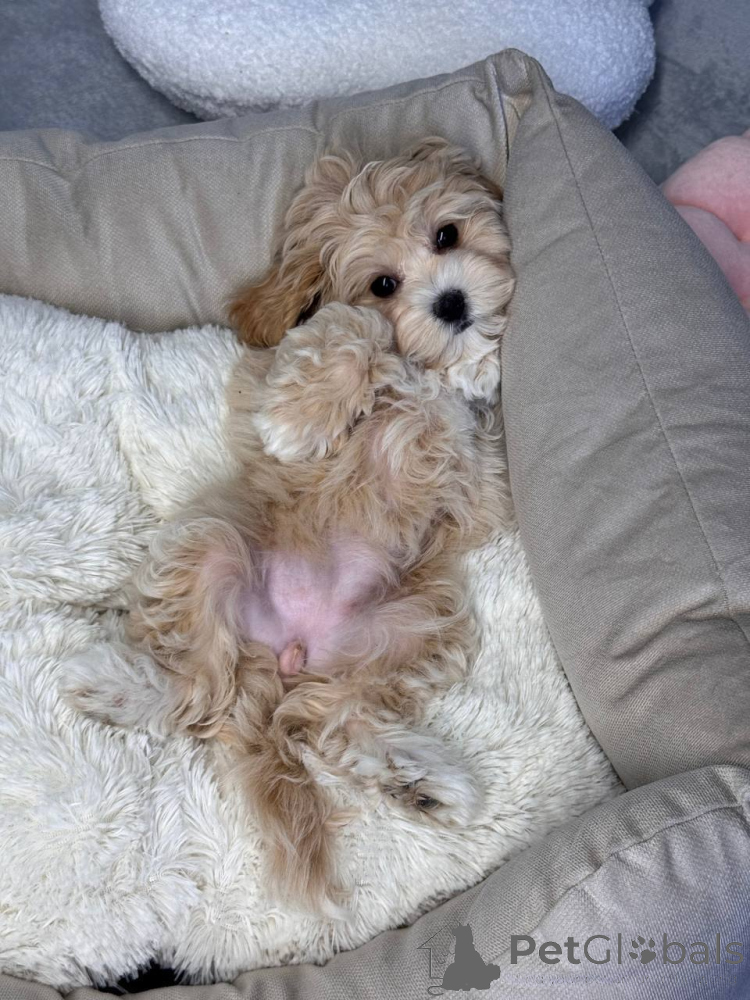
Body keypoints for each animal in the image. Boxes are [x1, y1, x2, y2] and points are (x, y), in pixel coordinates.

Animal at [68, 138, 515, 915]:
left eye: (447, 236)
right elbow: (352, 331)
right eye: (383, 283)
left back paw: (425, 784)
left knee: (326, 718)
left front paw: (478, 361)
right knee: (198, 688)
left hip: (413, 624)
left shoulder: (480, 482)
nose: (452, 303)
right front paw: (304, 416)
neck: (424, 373)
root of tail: (284, 654)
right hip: (214, 551)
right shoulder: (284, 367)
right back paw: (121, 687)